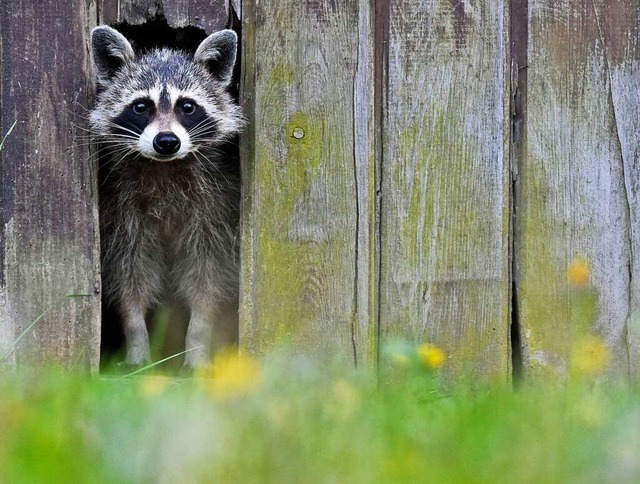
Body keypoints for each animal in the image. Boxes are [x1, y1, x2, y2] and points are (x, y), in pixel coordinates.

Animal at [89, 25, 241, 366]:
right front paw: (135, 335)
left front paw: (198, 338)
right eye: (140, 106)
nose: (167, 141)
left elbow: (207, 276)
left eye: (187, 106)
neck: (164, 166)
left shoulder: (216, 209)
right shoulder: (121, 212)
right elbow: (129, 274)